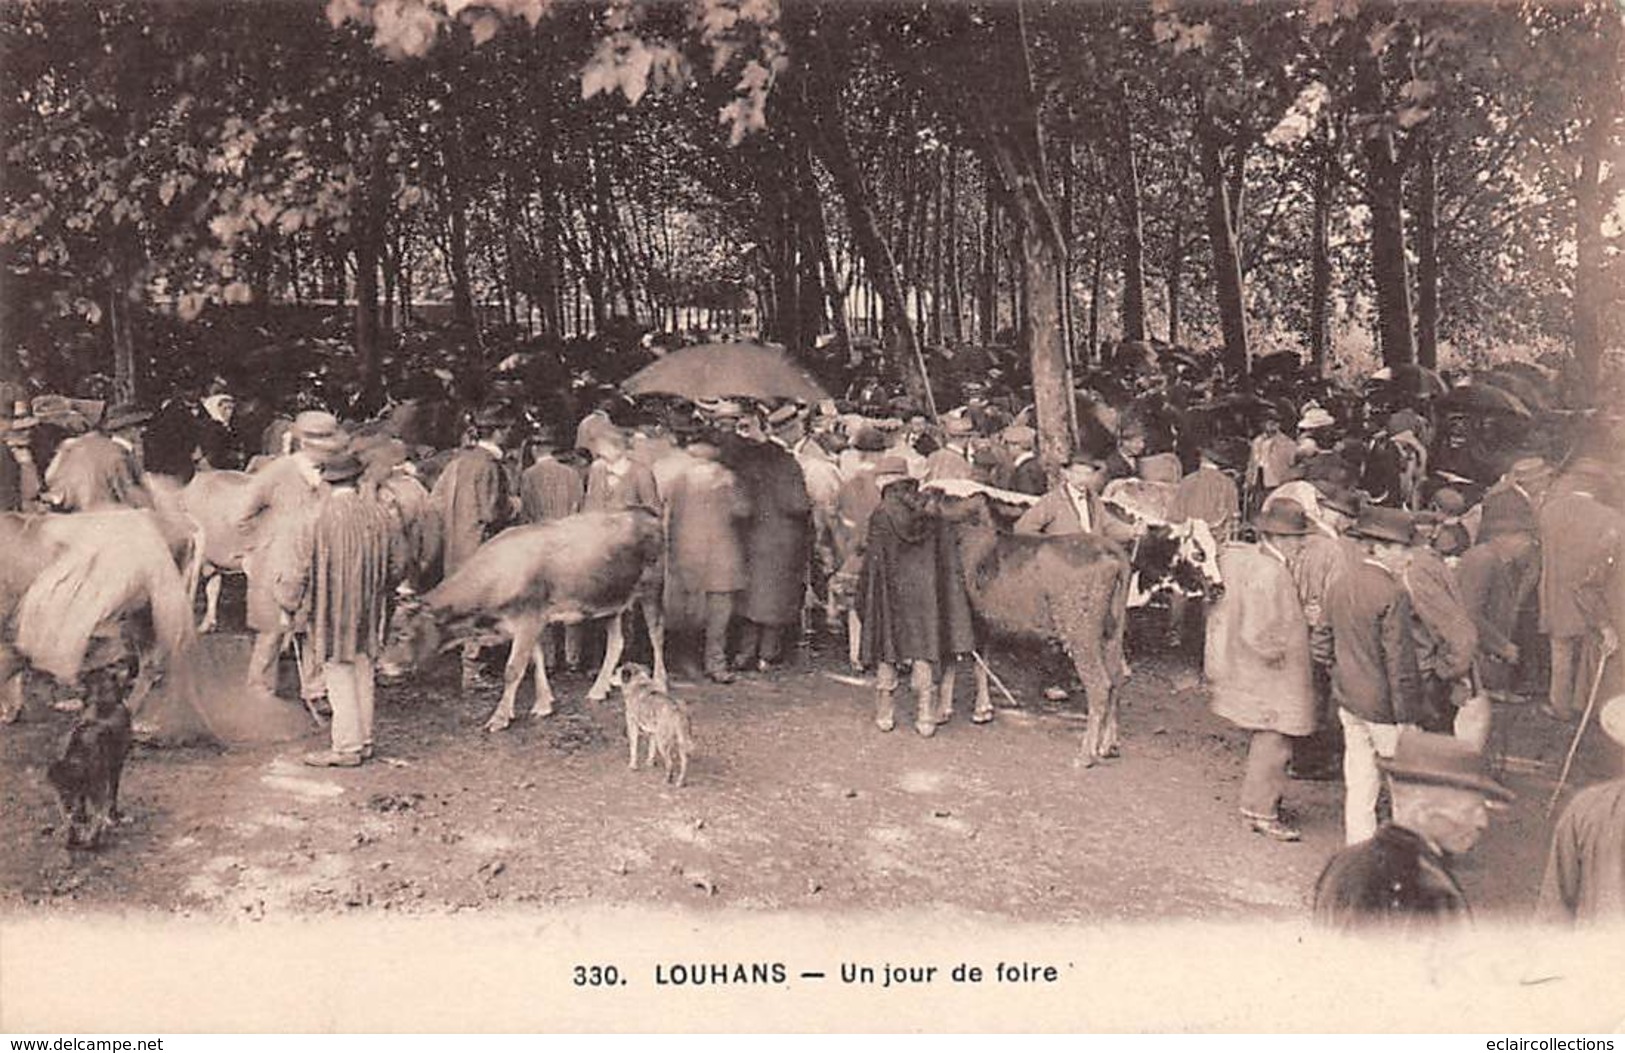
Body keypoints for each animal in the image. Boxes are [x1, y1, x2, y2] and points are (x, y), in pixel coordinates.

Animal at [46, 663, 134, 851]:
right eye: (62, 791)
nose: (67, 803)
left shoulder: (97, 787)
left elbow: (96, 814)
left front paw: (88, 838)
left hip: (112, 769)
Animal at [380, 507, 666, 731]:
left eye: (403, 634)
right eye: (391, 630)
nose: (382, 666)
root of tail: (644, 511)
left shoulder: (528, 619)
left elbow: (513, 669)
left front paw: (500, 717)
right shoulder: (533, 620)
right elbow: (535, 660)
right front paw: (543, 703)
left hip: (653, 587)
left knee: (657, 635)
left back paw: (660, 682)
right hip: (611, 601)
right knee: (616, 642)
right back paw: (598, 689)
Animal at [929, 490, 1131, 770]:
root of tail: (1113, 553)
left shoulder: (958, 617)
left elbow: (952, 663)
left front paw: (941, 712)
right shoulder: (983, 621)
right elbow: (982, 663)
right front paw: (983, 710)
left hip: (1081, 633)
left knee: (1100, 684)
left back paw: (1085, 755)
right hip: (1112, 632)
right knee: (1117, 678)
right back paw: (1109, 745)